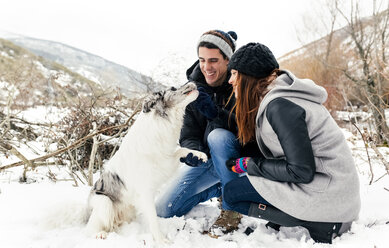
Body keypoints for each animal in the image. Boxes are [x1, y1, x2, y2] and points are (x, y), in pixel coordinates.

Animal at [85, 82, 206, 243]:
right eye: (173, 89)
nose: (193, 83)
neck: (159, 124)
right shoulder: (145, 192)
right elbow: (153, 220)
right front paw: (161, 241)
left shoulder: (166, 162)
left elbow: (181, 150)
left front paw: (200, 155)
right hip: (104, 203)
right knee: (91, 229)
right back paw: (100, 234)